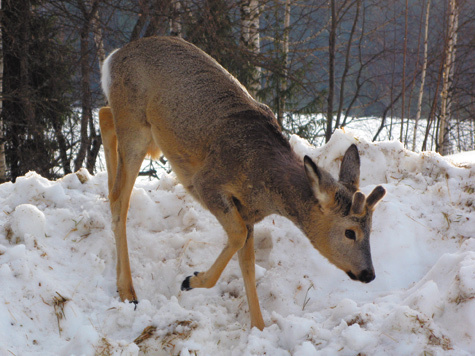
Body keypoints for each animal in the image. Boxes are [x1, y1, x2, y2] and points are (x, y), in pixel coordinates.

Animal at [100, 36, 386, 330]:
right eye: (350, 232)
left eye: (372, 228)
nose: (369, 274)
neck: (264, 185)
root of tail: (113, 57)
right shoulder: (207, 183)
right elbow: (236, 238)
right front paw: (190, 280)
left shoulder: (247, 212)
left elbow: (247, 264)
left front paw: (259, 327)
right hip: (135, 123)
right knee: (119, 199)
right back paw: (128, 291)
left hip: (141, 129)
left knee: (104, 116)